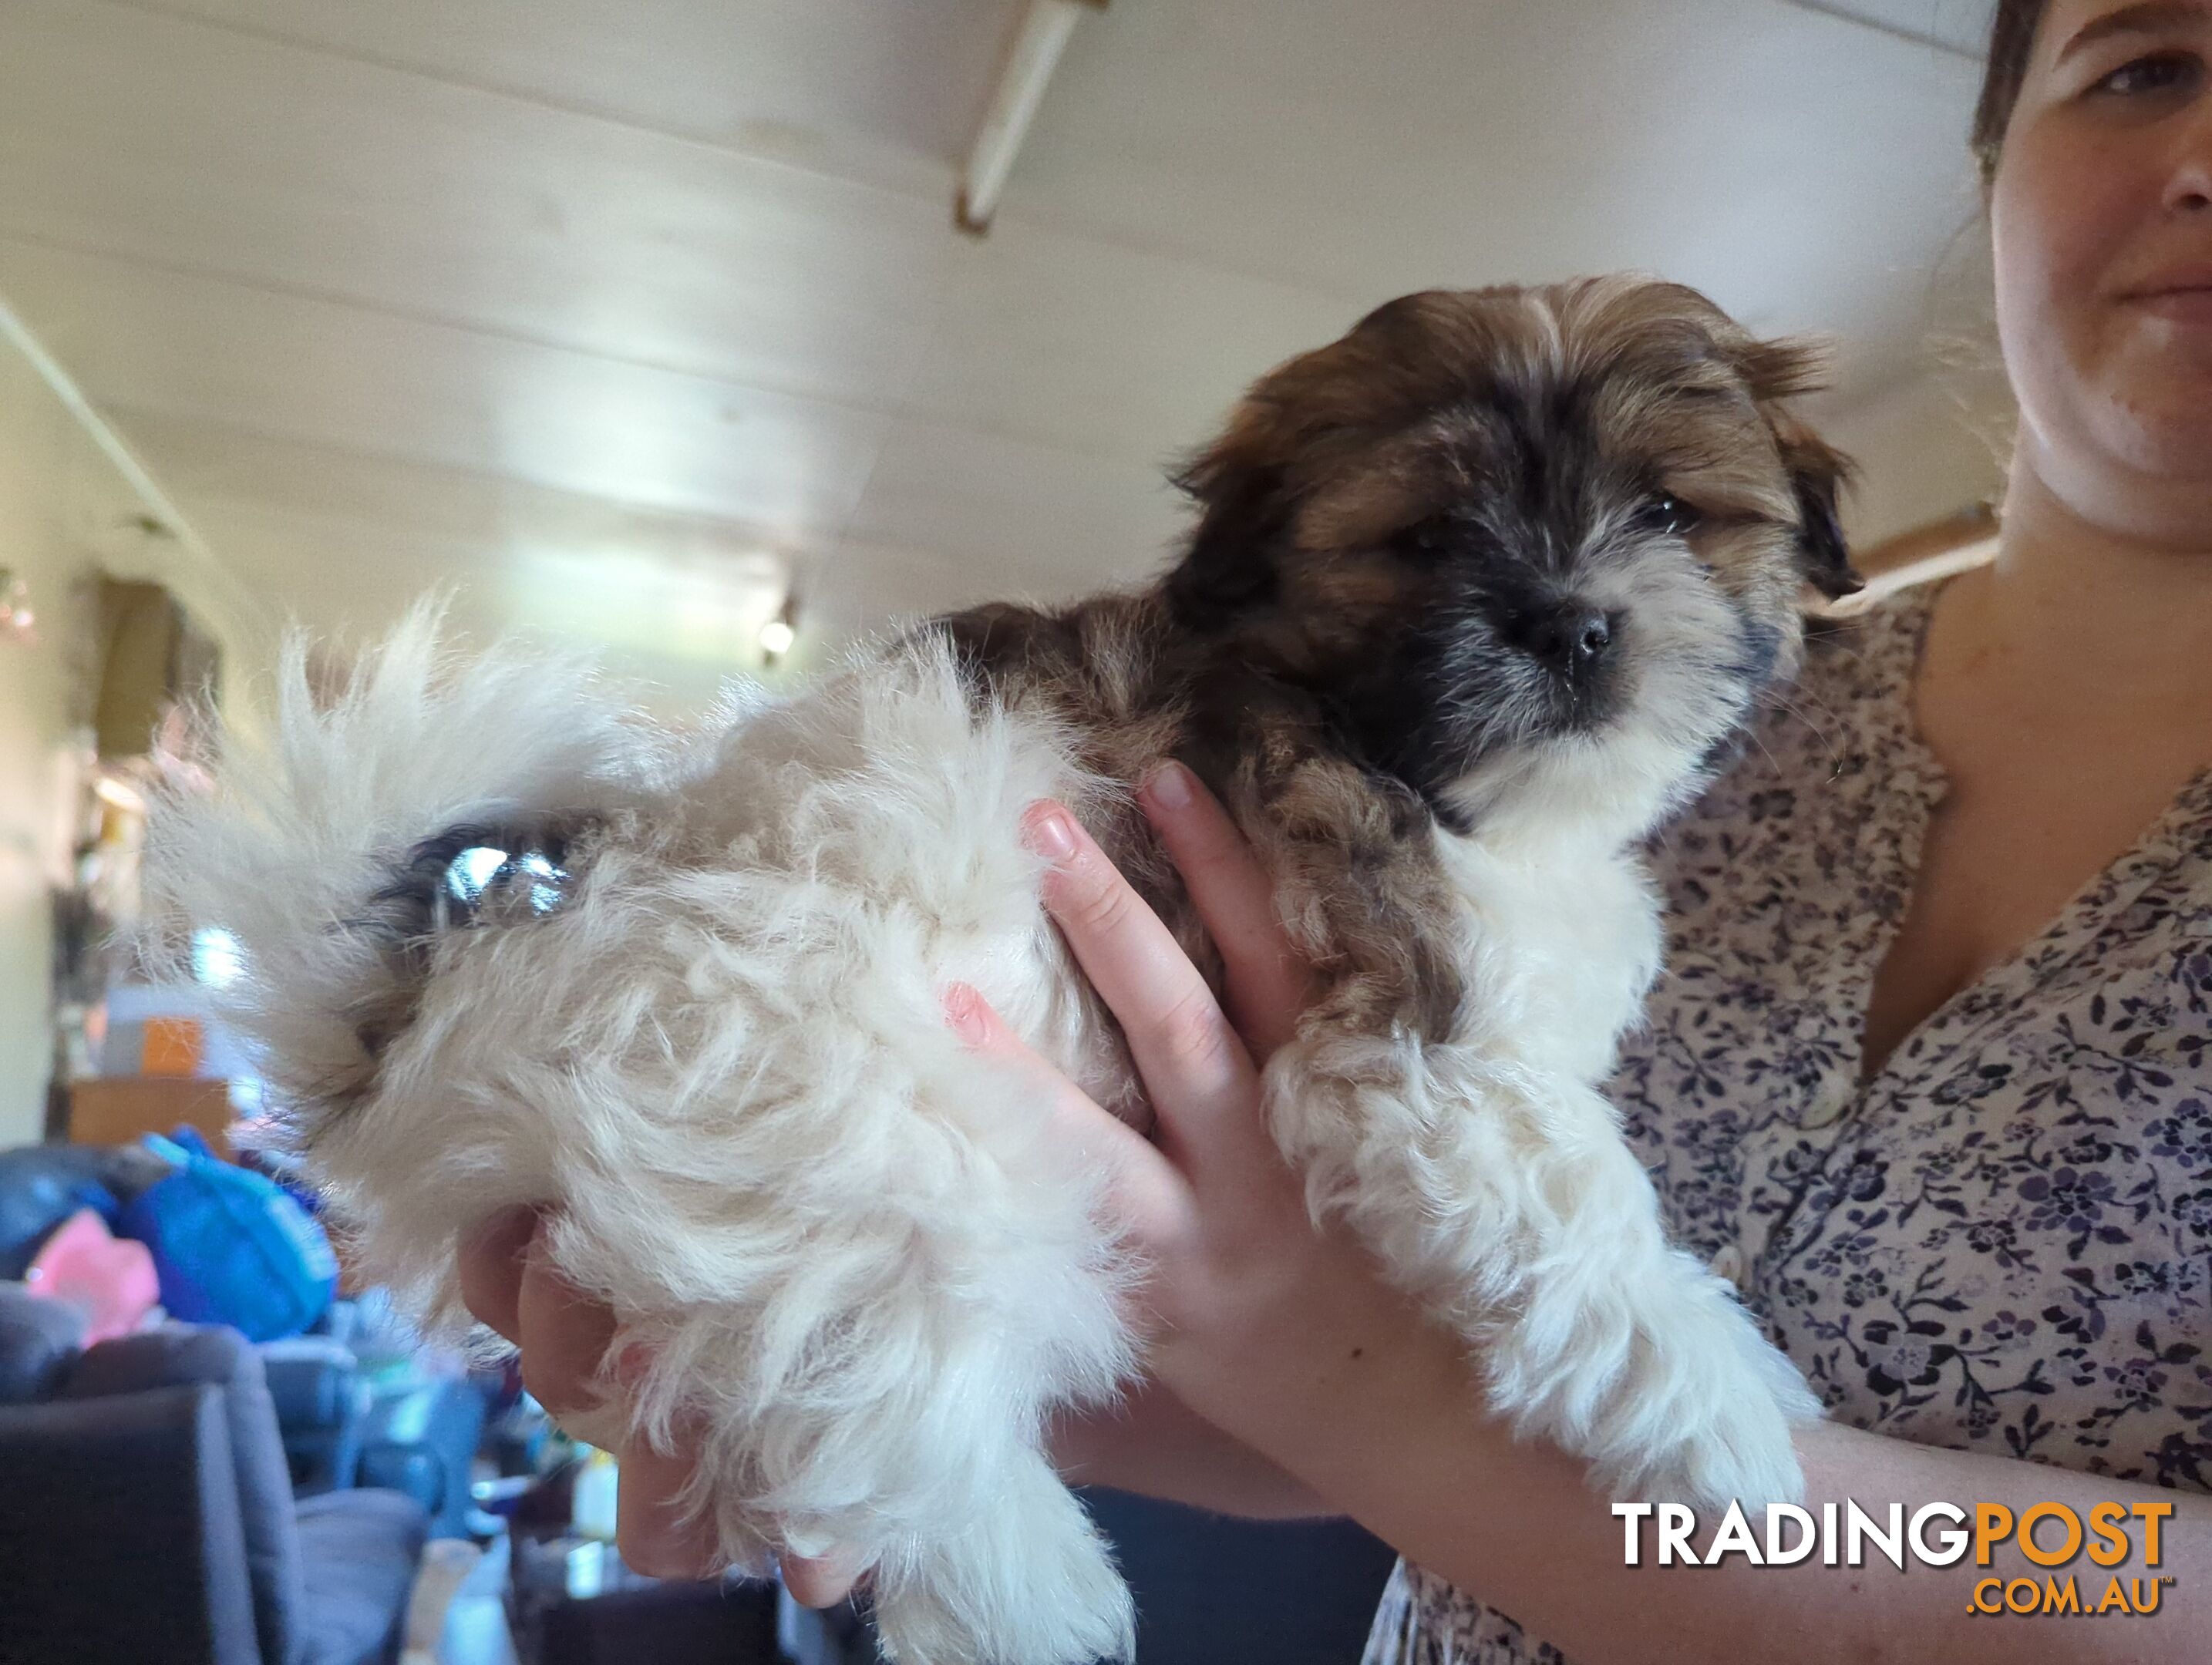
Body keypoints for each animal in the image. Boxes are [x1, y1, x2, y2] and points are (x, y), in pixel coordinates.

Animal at [146, 276, 1849, 1663]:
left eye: (1671, 513)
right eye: (1425, 538)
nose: (1568, 624)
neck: (1425, 767)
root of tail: (446, 1000)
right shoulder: (1410, 1040)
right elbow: (1578, 1206)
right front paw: (1718, 1408)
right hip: (861, 1140)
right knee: (867, 1408)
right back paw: (1029, 1593)